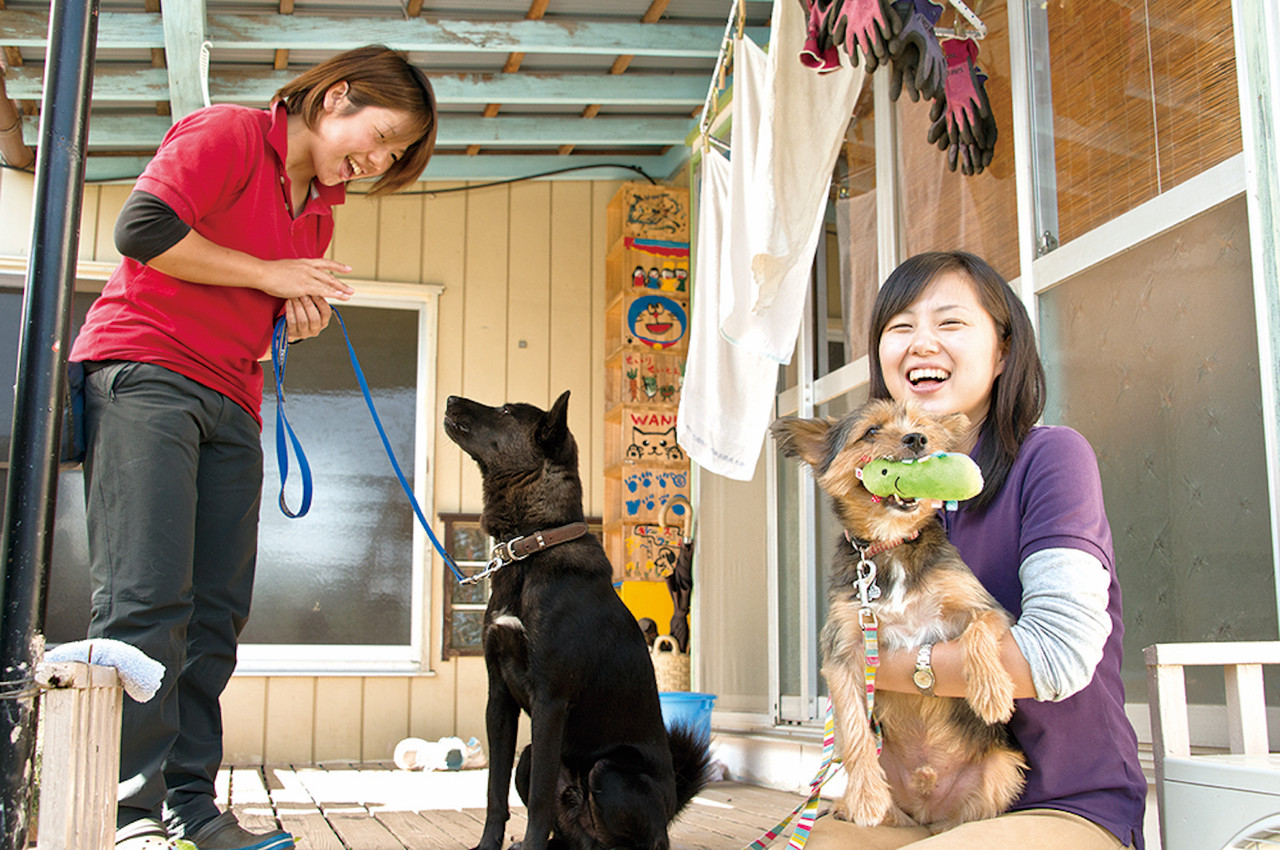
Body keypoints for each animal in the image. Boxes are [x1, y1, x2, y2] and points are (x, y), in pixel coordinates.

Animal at [445, 389, 711, 850]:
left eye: (505, 412)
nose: (448, 399)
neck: (531, 546)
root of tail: (670, 808)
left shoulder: (550, 702)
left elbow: (536, 802)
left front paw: (529, 845)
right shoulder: (499, 700)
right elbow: (494, 790)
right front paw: (488, 845)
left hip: (610, 773)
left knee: (639, 841)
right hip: (530, 757)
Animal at [768, 399, 1029, 829]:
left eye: (924, 426)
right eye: (871, 431)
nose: (917, 439)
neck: (891, 546)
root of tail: (925, 809)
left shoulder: (986, 608)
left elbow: (977, 630)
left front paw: (991, 692)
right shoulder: (843, 652)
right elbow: (854, 727)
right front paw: (866, 798)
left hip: (1004, 769)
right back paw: (851, 805)